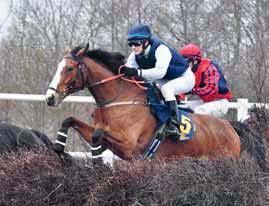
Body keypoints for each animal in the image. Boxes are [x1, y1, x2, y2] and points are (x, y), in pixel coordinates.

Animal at [45, 43, 264, 169]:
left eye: (69, 68)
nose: (50, 97)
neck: (119, 97)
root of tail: (230, 127)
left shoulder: (129, 145)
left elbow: (98, 135)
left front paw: (97, 159)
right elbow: (70, 120)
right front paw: (60, 148)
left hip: (224, 160)